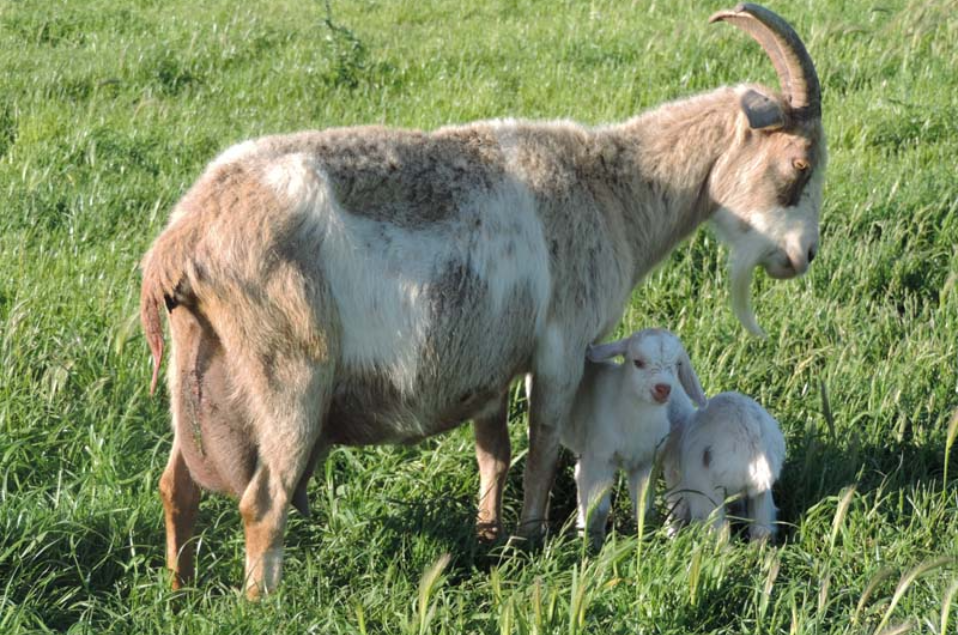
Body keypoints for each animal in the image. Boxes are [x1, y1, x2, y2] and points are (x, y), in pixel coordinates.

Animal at [557, 329, 707, 548]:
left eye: (678, 364)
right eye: (638, 362)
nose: (663, 388)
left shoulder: (644, 463)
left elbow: (643, 504)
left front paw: (643, 539)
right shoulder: (599, 458)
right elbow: (597, 508)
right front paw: (591, 543)